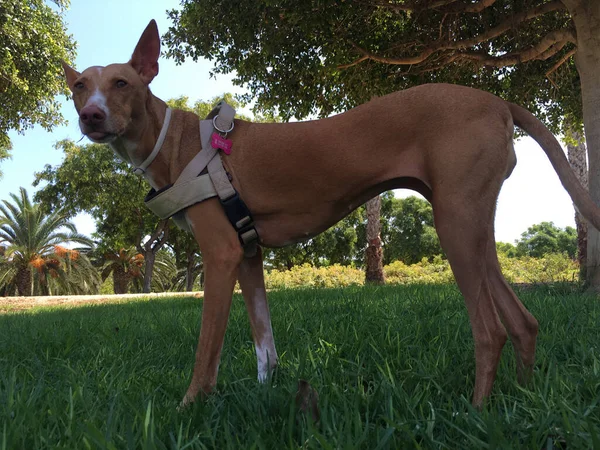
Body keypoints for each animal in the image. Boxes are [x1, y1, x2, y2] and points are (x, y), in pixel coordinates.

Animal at [61, 20, 600, 408]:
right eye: (80, 87)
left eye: (122, 82)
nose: (91, 116)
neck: (179, 143)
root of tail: (497, 100)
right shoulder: (248, 256)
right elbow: (264, 344)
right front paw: (268, 396)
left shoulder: (220, 254)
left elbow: (206, 350)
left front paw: (189, 406)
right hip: (472, 225)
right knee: (523, 322)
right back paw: (522, 399)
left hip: (456, 228)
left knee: (490, 331)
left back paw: (477, 411)